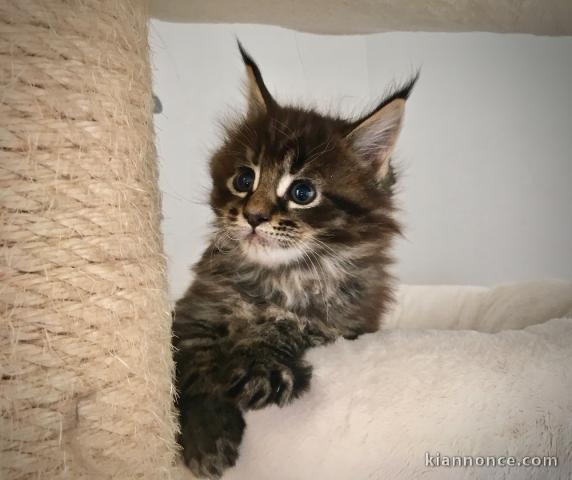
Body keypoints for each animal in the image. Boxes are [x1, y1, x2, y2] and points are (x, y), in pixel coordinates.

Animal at [172, 43, 418, 478]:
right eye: (244, 180)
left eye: (303, 192)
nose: (253, 216)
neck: (277, 278)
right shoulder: (195, 310)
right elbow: (194, 365)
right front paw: (208, 439)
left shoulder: (342, 323)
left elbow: (290, 326)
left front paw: (260, 370)